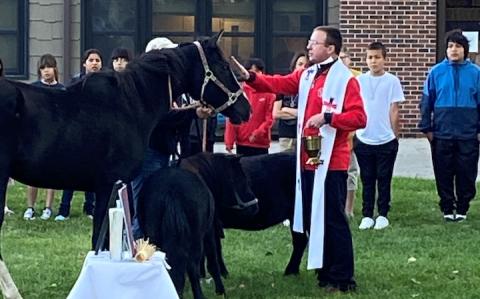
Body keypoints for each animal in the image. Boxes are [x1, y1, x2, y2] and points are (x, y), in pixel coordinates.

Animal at [138, 154, 258, 298]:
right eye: (242, 179)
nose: (255, 207)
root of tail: (171, 191)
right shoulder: (209, 232)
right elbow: (212, 259)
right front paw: (220, 289)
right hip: (196, 238)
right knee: (192, 266)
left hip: (153, 237)